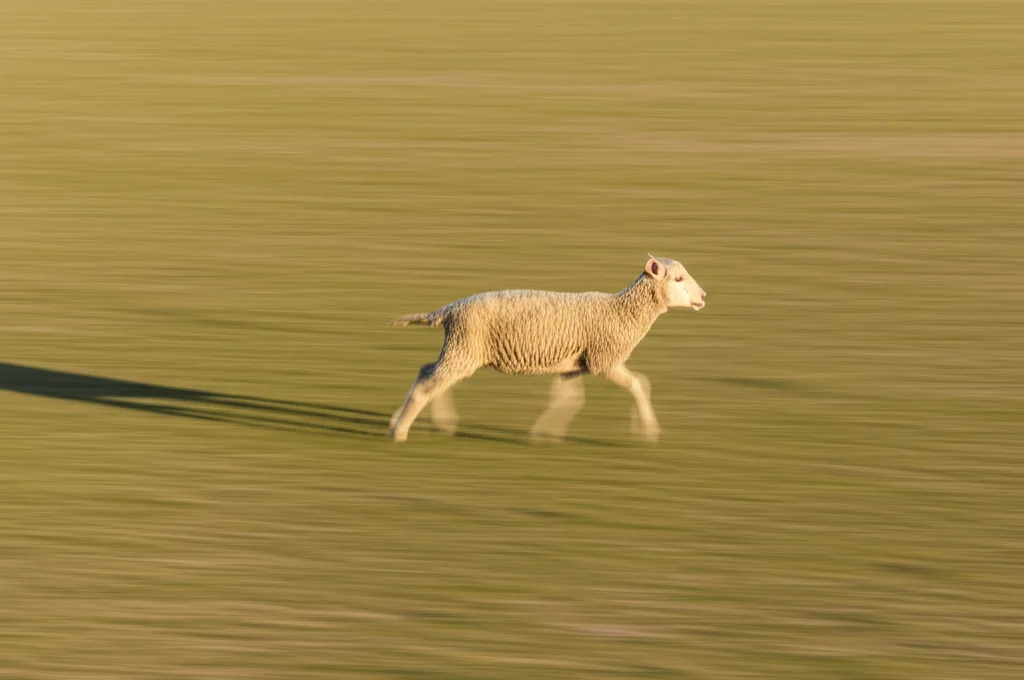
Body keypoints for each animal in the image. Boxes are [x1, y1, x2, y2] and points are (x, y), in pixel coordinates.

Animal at [388, 254, 706, 443]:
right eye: (678, 279)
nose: (703, 296)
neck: (622, 311)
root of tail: (450, 309)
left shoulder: (575, 364)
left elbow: (568, 399)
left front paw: (545, 433)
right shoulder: (604, 359)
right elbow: (639, 385)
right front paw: (649, 430)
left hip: (462, 349)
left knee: (428, 374)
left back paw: (421, 420)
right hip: (464, 347)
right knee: (429, 384)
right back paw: (400, 431)